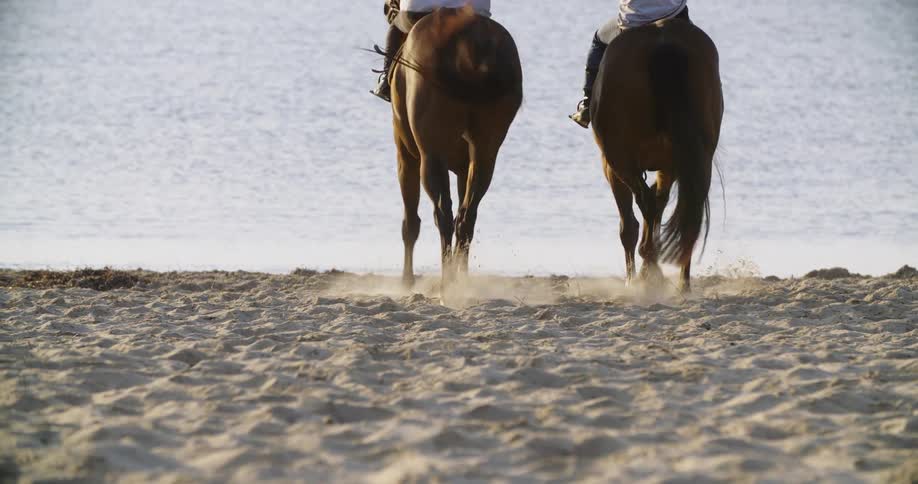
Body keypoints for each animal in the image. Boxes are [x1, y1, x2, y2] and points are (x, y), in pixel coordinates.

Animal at [388, 7, 523, 292]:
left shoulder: (405, 155)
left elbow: (410, 222)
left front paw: (406, 281)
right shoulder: (463, 166)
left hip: (430, 157)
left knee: (443, 214)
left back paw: (446, 282)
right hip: (485, 153)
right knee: (466, 215)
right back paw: (460, 281)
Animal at [590, 17, 723, 293]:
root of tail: (663, 43)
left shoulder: (610, 166)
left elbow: (631, 221)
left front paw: (638, 275)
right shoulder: (668, 165)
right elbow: (660, 202)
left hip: (619, 159)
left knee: (643, 205)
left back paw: (643, 273)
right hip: (695, 157)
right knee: (687, 213)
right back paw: (681, 283)